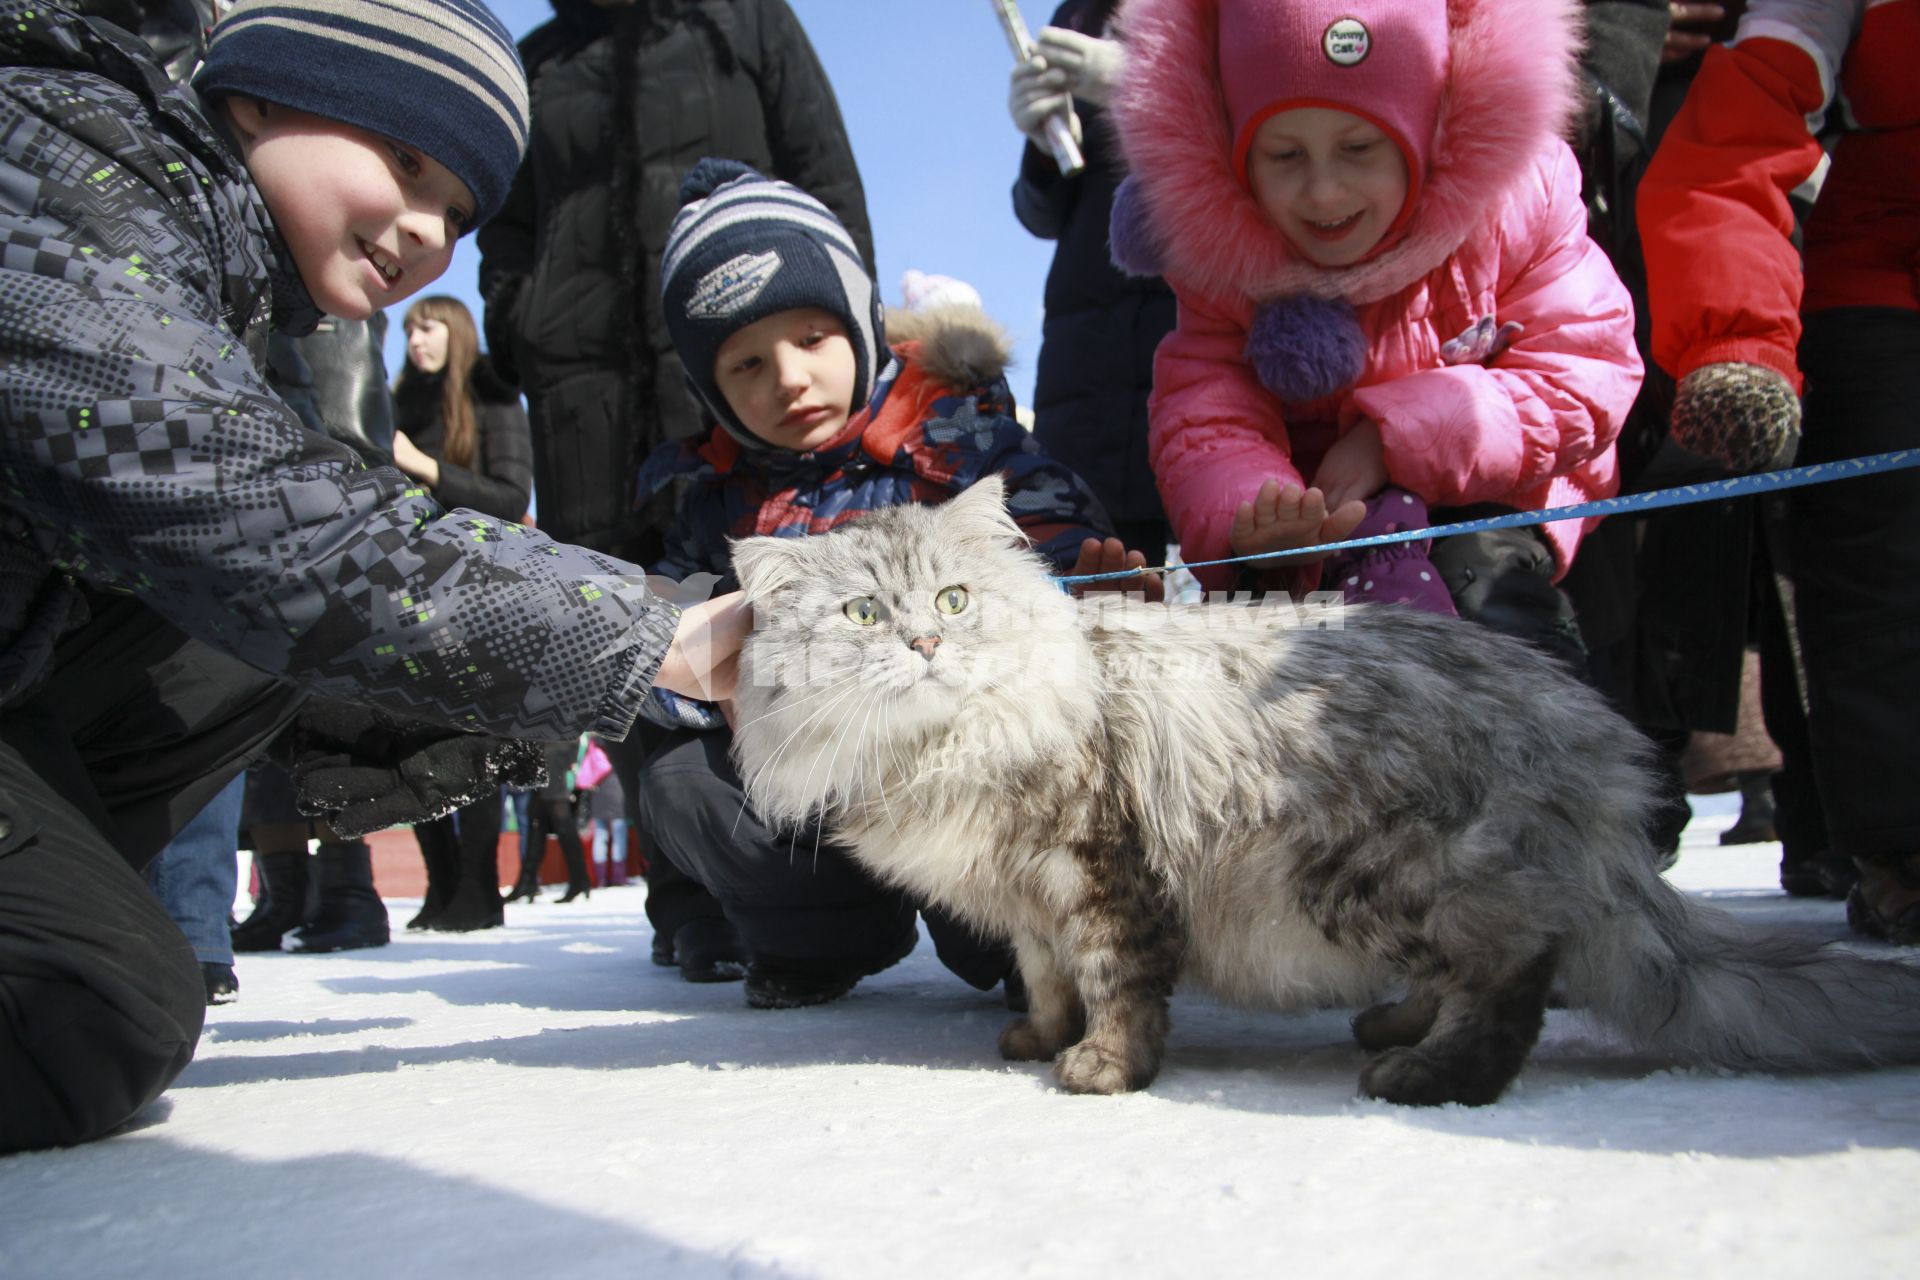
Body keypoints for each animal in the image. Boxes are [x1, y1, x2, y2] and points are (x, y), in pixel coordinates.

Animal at [721, 475, 1920, 1105]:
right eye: (864, 614)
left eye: (955, 600)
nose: (925, 643)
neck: (943, 747)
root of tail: (1574, 731)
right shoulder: (1022, 899)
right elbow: (1047, 976)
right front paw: (1034, 1037)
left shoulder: (1099, 868)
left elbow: (1115, 984)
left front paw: (1099, 1068)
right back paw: (1396, 1024)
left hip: (1373, 874)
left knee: (1516, 974)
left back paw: (1426, 1074)